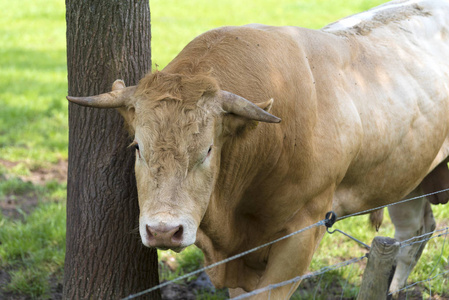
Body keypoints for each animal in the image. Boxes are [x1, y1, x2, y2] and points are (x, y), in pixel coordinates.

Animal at [66, 0, 448, 298]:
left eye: (207, 150)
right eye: (137, 147)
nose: (163, 231)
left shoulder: (304, 231)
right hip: (406, 177)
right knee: (414, 231)